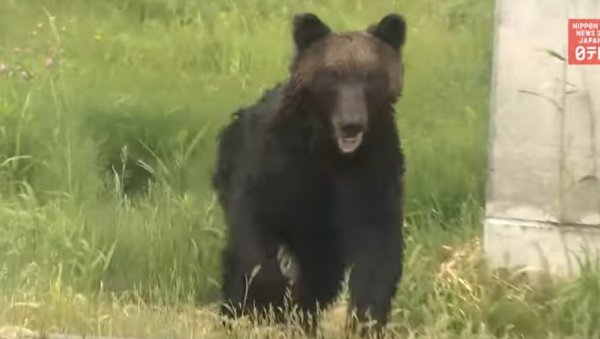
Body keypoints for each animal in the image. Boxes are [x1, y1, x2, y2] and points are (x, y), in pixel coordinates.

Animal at [211, 11, 408, 336]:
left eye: (370, 76)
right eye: (333, 75)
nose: (351, 124)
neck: (330, 152)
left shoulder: (371, 170)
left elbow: (378, 246)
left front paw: (366, 319)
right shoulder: (279, 163)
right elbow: (253, 222)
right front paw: (270, 297)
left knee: (321, 278)